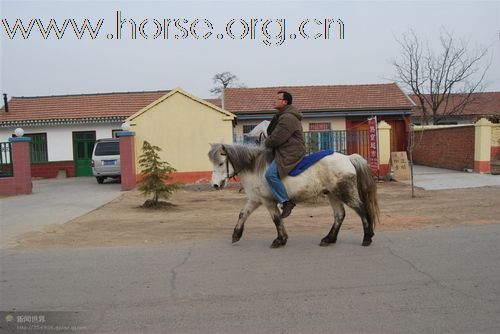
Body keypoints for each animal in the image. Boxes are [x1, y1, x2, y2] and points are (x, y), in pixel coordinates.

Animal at [208, 144, 378, 248]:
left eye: (221, 163)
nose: (214, 185)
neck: (255, 169)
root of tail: (348, 158)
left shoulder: (268, 202)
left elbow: (276, 220)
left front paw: (280, 240)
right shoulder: (255, 200)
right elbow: (243, 214)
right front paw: (236, 235)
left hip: (345, 192)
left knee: (362, 210)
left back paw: (367, 237)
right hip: (333, 194)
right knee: (339, 215)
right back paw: (329, 239)